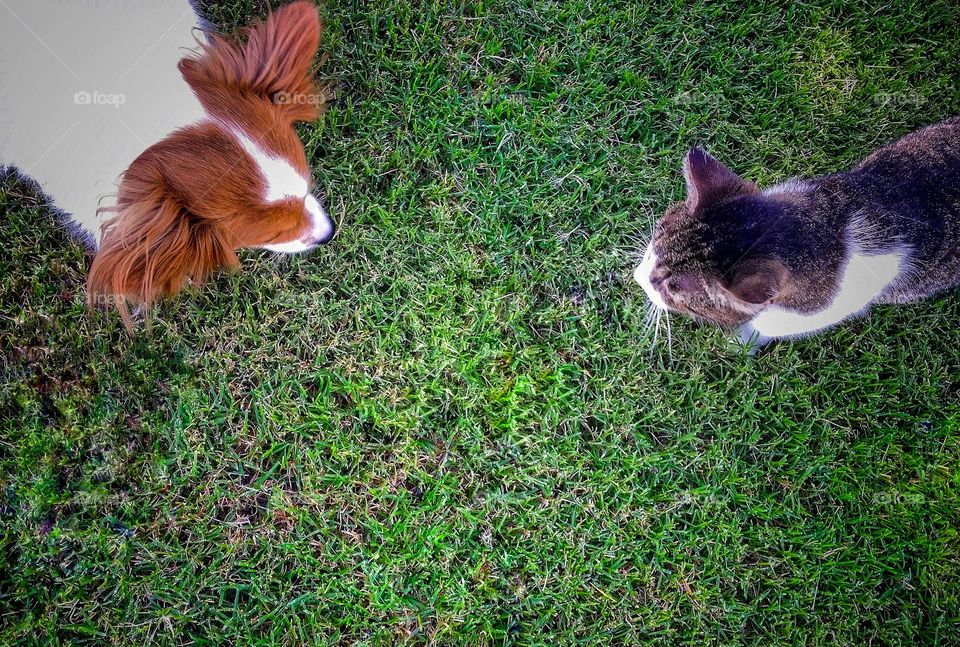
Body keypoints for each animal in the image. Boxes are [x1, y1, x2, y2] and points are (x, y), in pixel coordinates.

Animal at [632, 116, 960, 350]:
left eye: (670, 287)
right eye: (654, 245)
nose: (638, 277)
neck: (830, 229)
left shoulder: (820, 311)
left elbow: (770, 324)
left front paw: (743, 341)